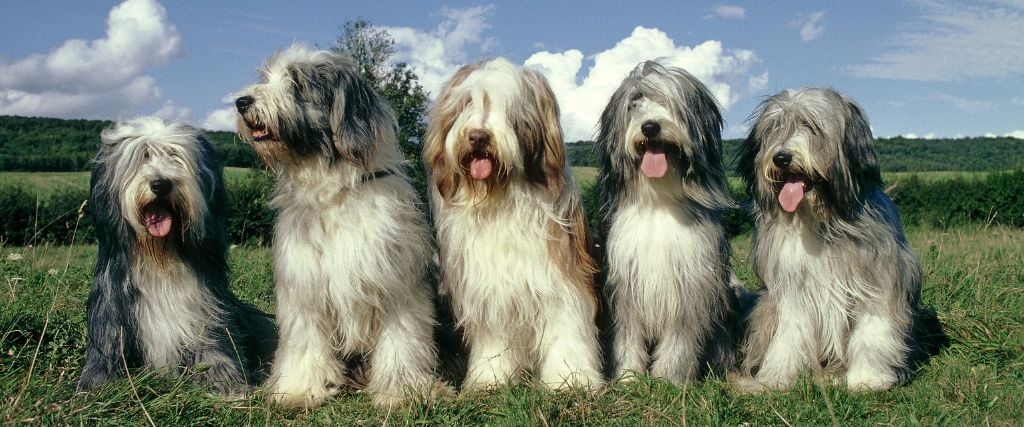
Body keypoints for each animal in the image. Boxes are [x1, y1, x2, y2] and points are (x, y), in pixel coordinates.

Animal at [77, 115, 274, 393]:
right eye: (143, 156)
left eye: (175, 156)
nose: (161, 184)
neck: (161, 257)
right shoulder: (112, 312)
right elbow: (105, 353)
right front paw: (95, 386)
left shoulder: (207, 309)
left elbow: (215, 347)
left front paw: (227, 383)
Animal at [234, 45, 442, 407]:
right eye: (267, 77)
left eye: (297, 83)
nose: (242, 101)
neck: (335, 193)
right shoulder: (305, 287)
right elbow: (305, 342)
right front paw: (297, 389)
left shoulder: (398, 284)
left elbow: (402, 341)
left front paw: (402, 392)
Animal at [419, 58, 602, 391]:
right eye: (466, 103)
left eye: (510, 109)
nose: (478, 137)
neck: (500, 197)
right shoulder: (489, 286)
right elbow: (494, 337)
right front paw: (490, 377)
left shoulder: (561, 277)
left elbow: (566, 328)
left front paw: (571, 379)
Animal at [598, 61, 741, 385]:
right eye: (635, 102)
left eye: (670, 102)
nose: (650, 126)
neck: (660, 201)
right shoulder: (625, 286)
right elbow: (627, 335)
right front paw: (627, 377)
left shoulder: (691, 283)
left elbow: (681, 338)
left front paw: (669, 380)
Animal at [733, 88, 925, 391]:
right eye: (776, 127)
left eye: (811, 126)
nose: (781, 158)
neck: (823, 220)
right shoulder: (794, 287)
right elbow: (790, 334)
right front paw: (777, 378)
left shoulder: (879, 280)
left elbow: (872, 330)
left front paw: (867, 379)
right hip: (764, 308)